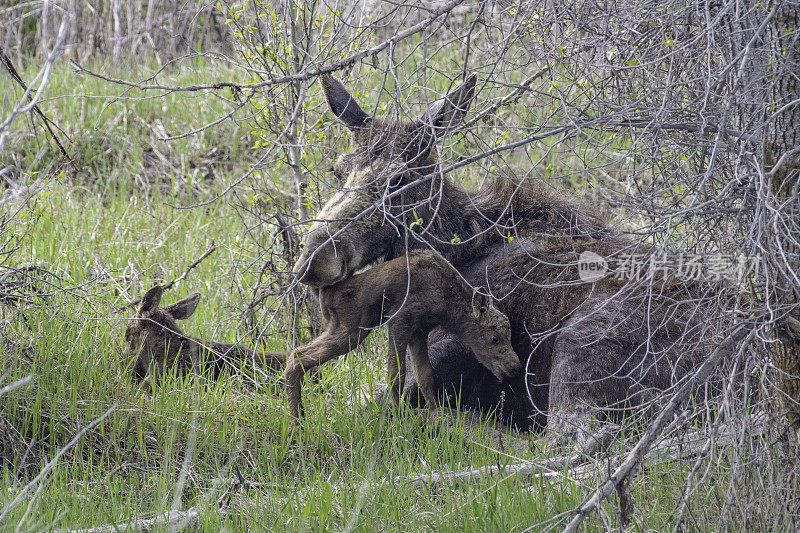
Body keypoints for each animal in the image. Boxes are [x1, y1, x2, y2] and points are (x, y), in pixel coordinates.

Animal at [284, 248, 520, 424]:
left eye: (509, 335)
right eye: (495, 338)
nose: (514, 367)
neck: (446, 306)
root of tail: (324, 293)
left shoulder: (420, 330)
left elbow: (426, 375)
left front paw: (435, 411)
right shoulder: (400, 320)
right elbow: (396, 374)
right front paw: (398, 416)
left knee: (299, 356)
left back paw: (301, 418)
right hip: (351, 331)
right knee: (297, 355)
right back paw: (296, 423)